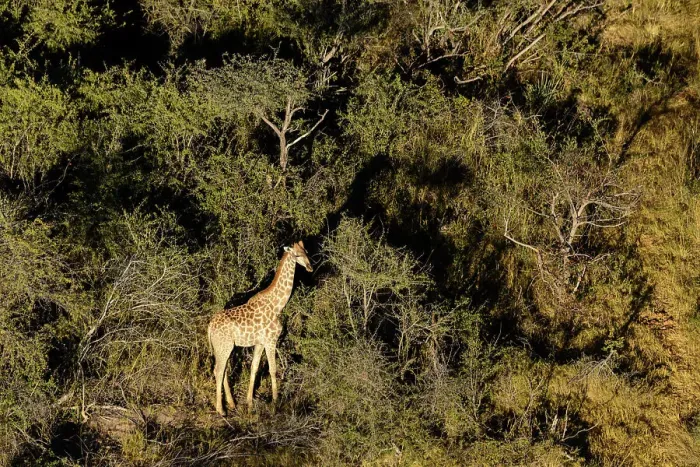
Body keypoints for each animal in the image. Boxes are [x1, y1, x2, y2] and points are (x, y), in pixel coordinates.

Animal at [207, 241, 313, 415]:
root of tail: (209, 326)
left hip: (223, 347)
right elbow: (273, 369)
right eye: (297, 255)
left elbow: (254, 368)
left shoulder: (260, 342)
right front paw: (276, 401)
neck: (277, 305)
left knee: (223, 370)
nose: (310, 267)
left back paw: (232, 404)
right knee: (218, 370)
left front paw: (249, 402)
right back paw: (221, 410)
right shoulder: (270, 340)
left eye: (307, 252)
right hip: (224, 346)